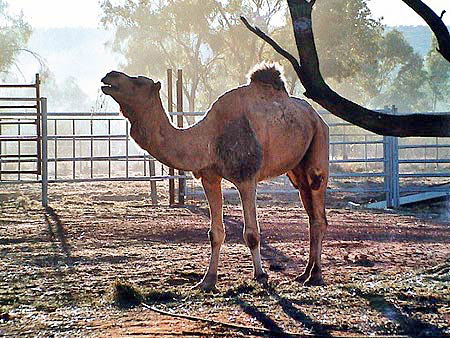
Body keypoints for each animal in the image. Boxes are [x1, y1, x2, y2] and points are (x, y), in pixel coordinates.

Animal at [100, 64, 328, 290]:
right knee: (309, 210)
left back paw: (315, 275)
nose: (109, 76)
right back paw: (304, 273)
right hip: (297, 170)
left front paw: (260, 275)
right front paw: (207, 281)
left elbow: (251, 233)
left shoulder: (246, 177)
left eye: (138, 82)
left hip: (319, 142)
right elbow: (215, 233)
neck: (208, 139)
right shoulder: (209, 177)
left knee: (318, 209)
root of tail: (317, 117)